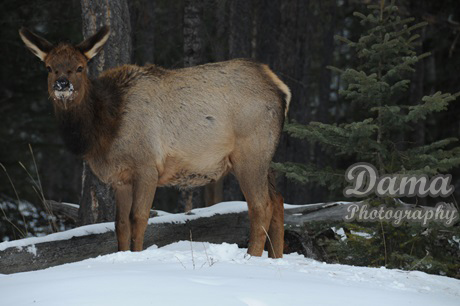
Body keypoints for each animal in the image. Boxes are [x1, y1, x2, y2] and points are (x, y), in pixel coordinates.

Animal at [19, 25, 292, 258]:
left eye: (80, 67)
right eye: (49, 67)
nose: (62, 84)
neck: (103, 132)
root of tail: (280, 88)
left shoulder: (147, 167)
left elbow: (138, 218)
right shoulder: (120, 179)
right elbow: (120, 224)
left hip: (250, 153)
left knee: (261, 205)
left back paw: (252, 256)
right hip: (267, 156)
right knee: (278, 200)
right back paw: (276, 257)